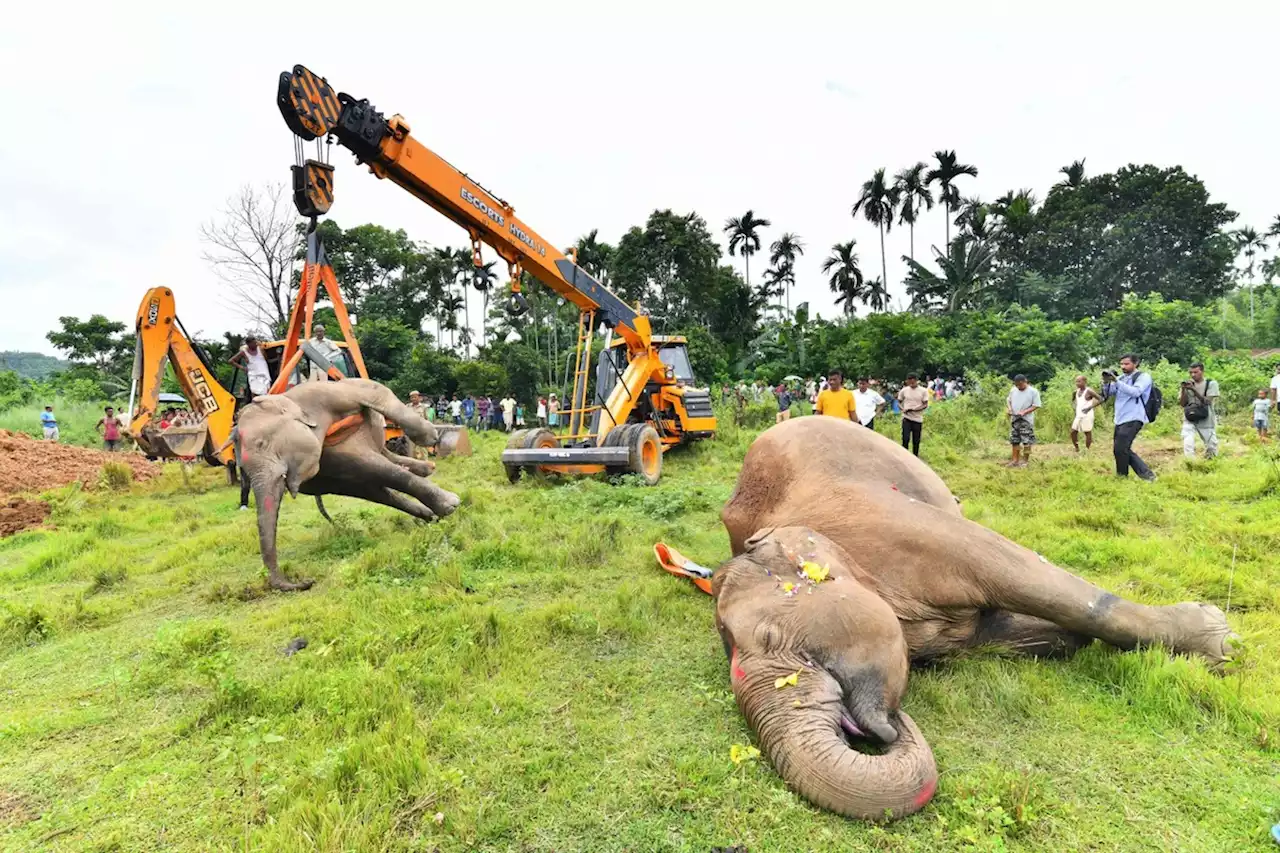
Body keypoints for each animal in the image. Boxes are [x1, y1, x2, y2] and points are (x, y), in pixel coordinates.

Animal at [230, 379, 460, 591]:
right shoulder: (327, 461)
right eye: (244, 467)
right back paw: (428, 493)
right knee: (377, 479)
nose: (308, 581)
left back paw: (429, 463)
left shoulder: (323, 393)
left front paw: (450, 503)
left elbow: (372, 389)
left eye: (262, 444)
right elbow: (365, 471)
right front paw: (446, 508)